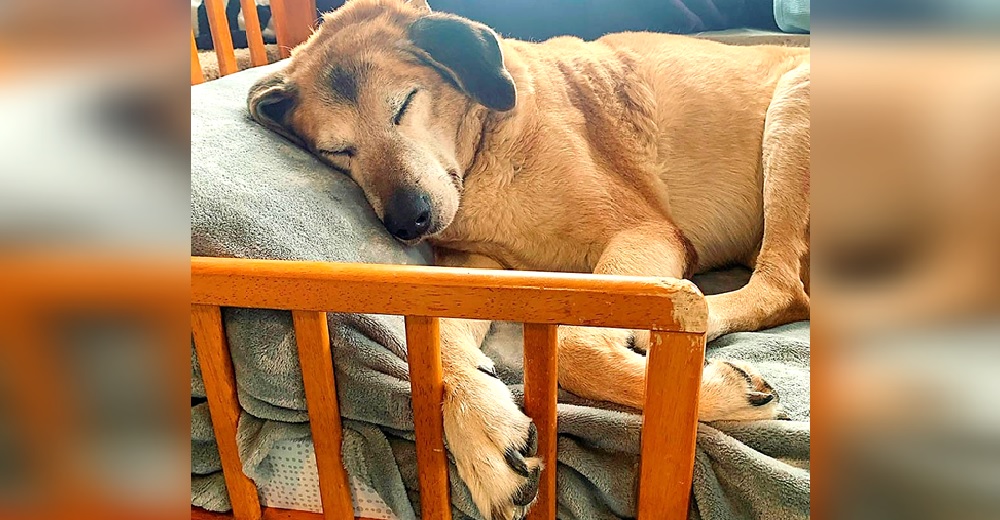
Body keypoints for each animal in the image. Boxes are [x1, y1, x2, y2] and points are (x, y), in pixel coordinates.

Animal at [246, 2, 808, 516]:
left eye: (404, 104)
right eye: (338, 151)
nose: (408, 224)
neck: (485, 157)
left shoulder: (643, 232)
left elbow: (577, 347)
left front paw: (718, 392)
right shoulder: (476, 269)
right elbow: (434, 341)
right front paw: (483, 433)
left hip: (790, 111)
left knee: (779, 289)